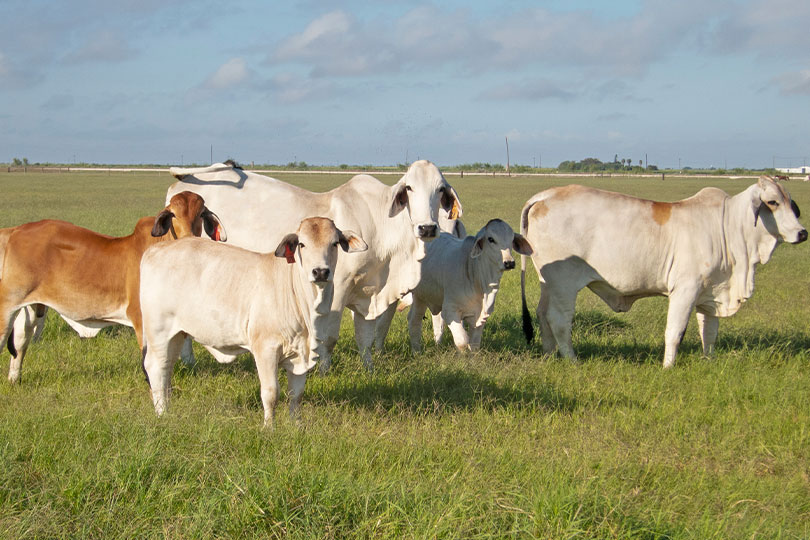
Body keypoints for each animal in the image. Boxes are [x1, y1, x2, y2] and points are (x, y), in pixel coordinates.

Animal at [0, 191, 224, 384]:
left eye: (201, 214)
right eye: (173, 214)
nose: (189, 238)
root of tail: (14, 231)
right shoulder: (141, 318)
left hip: (31, 306)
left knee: (20, 342)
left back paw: (14, 379)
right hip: (7, 305)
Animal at [140, 217, 366, 428]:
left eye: (335, 243)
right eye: (302, 244)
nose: (320, 272)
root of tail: (154, 251)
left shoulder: (301, 353)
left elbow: (296, 394)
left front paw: (296, 425)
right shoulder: (265, 348)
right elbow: (271, 393)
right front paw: (269, 427)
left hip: (177, 334)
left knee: (166, 368)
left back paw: (167, 409)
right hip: (158, 331)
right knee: (155, 367)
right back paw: (161, 413)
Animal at [165, 159, 458, 372]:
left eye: (440, 189)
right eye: (409, 188)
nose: (427, 228)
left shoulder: (366, 292)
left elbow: (365, 337)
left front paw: (369, 369)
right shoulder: (336, 288)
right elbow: (329, 337)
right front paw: (324, 370)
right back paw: (188, 361)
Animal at [404, 220, 532, 354]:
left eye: (512, 240)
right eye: (491, 239)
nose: (509, 263)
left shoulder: (480, 317)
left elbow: (474, 345)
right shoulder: (450, 311)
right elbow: (462, 342)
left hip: (421, 296)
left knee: (414, 319)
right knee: (415, 320)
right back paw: (417, 352)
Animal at [520, 177, 804, 368]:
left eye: (791, 203)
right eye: (772, 202)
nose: (803, 233)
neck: (727, 226)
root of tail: (545, 195)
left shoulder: (711, 291)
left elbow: (709, 331)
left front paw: (708, 359)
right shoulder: (685, 290)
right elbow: (675, 331)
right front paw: (668, 366)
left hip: (548, 283)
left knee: (542, 314)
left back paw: (549, 355)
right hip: (564, 284)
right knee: (558, 319)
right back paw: (572, 360)